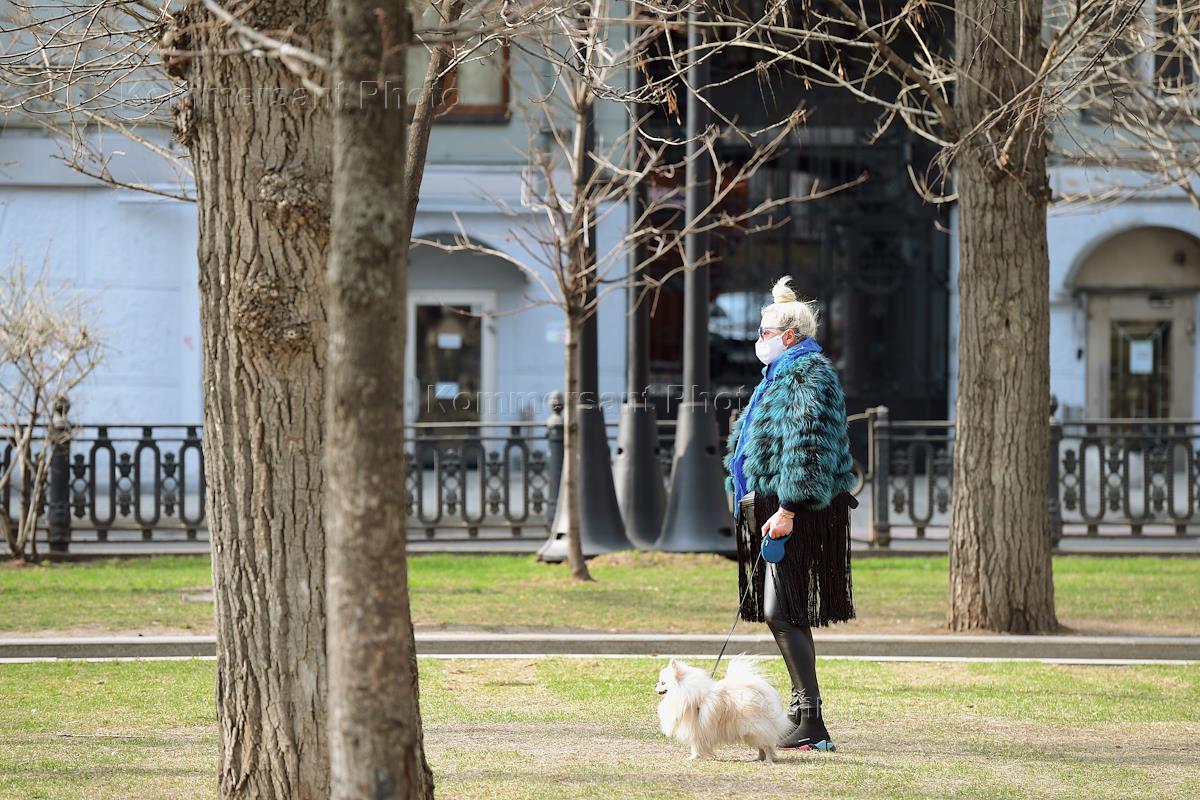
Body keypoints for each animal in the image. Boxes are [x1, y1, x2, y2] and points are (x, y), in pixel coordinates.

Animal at [655, 655, 792, 763]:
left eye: (663, 683)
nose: (655, 685)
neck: (685, 692)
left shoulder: (695, 729)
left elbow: (695, 745)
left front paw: (693, 757)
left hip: (754, 729)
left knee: (767, 746)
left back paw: (767, 760)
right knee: (762, 746)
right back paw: (758, 758)